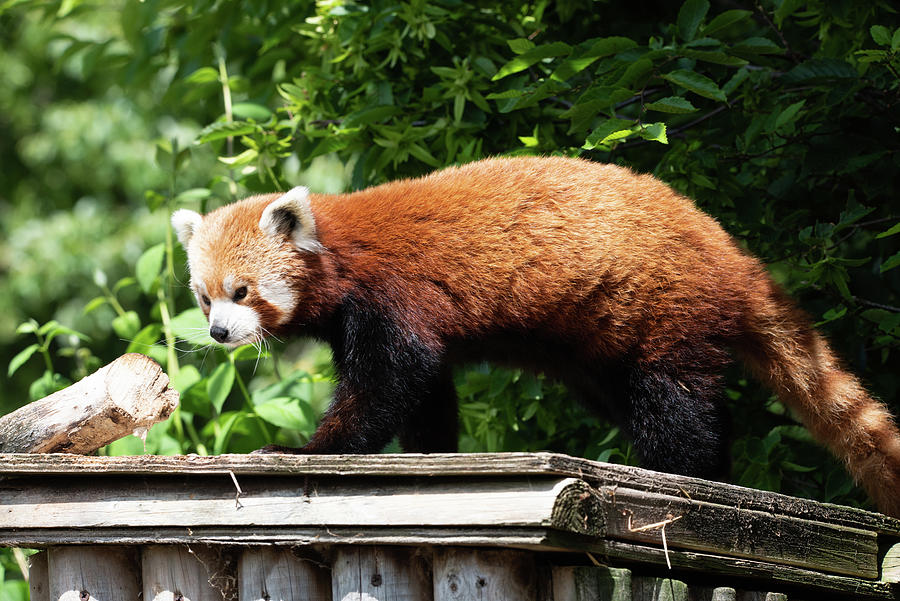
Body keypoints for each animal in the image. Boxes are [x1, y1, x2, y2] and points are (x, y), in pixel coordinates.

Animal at [171, 155, 900, 516]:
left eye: (242, 292)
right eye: (205, 297)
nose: (218, 330)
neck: (341, 249)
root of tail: (732, 254)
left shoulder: (391, 298)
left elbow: (387, 384)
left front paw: (308, 449)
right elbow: (426, 389)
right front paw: (432, 453)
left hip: (669, 312)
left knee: (677, 403)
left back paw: (685, 469)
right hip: (602, 349)